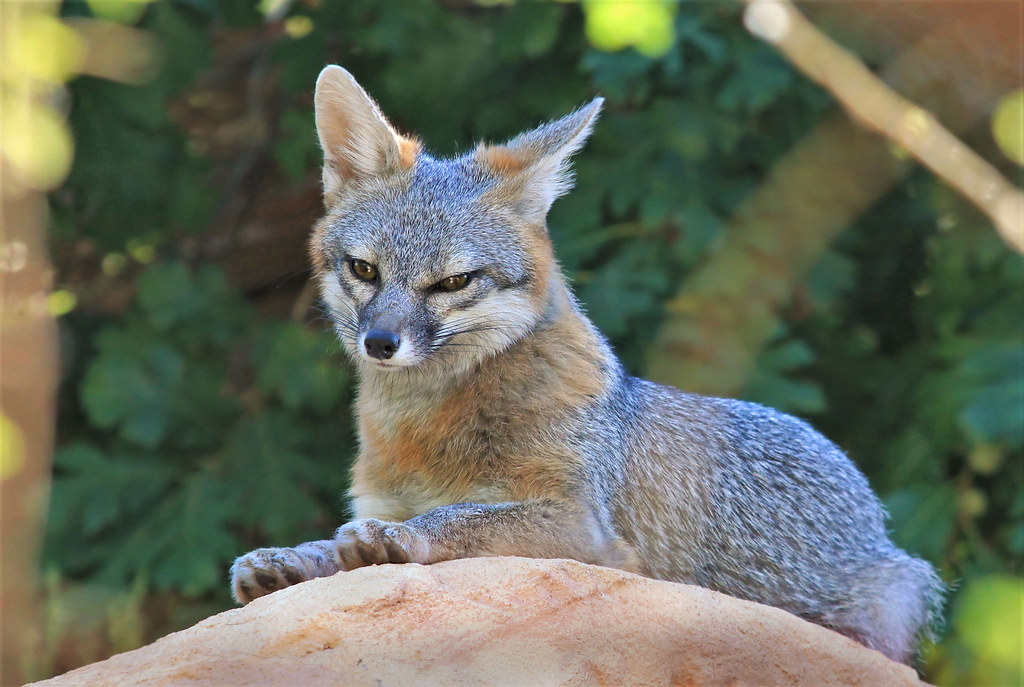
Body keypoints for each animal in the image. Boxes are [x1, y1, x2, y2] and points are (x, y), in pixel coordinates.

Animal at [230, 65, 943, 664]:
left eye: (453, 281)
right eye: (364, 270)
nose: (380, 342)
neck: (428, 431)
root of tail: (873, 514)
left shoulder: (581, 525)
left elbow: (459, 517)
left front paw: (395, 540)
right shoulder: (383, 496)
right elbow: (341, 541)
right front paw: (296, 556)